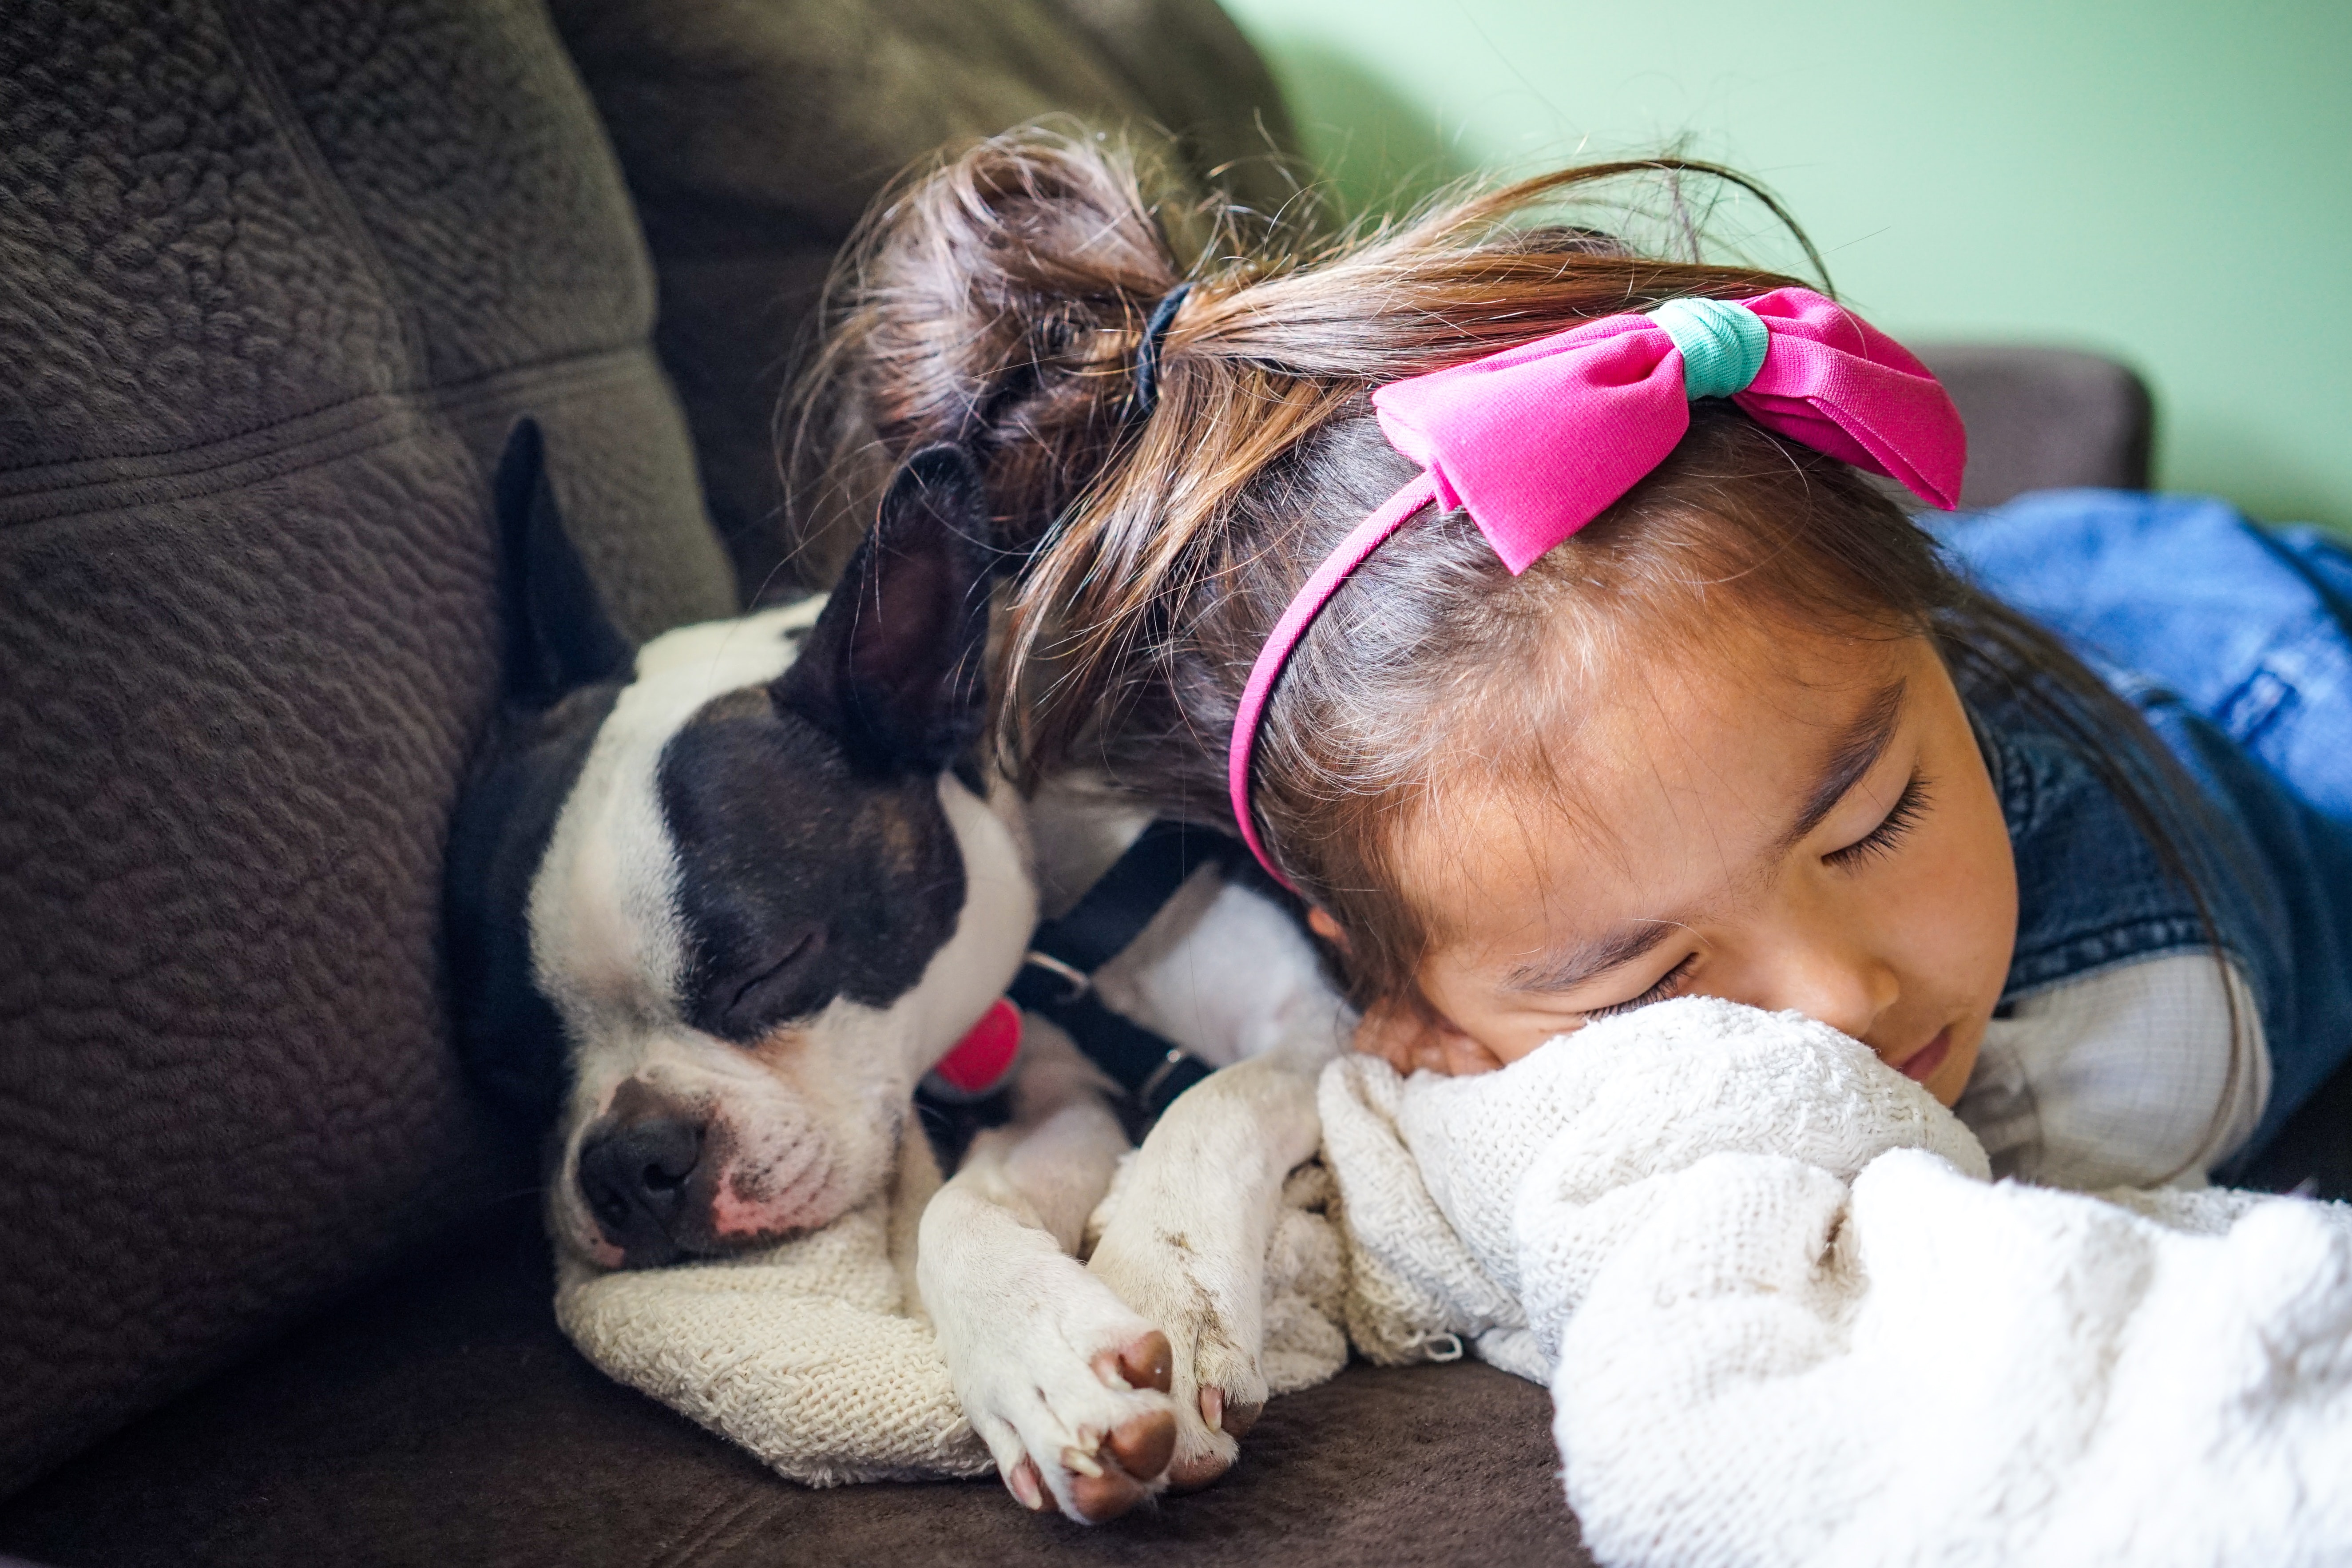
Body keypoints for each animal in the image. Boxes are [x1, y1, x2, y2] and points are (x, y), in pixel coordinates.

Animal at [449, 423, 1355, 1523]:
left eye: (766, 969)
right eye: (507, 1065)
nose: (629, 1160)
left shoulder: (1316, 1018)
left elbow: (1213, 1103)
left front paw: (1165, 1293)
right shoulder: (1053, 1090)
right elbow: (955, 1208)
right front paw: (1041, 1361)